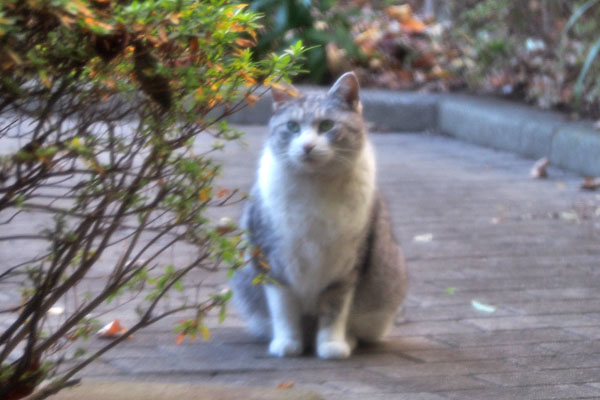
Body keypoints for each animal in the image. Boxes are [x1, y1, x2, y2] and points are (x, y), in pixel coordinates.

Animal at [231, 72, 408, 360]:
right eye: (292, 127)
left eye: (326, 125)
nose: (307, 146)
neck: (315, 186)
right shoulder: (272, 261)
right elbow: (283, 309)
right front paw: (287, 343)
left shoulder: (345, 268)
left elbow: (334, 312)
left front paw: (332, 345)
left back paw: (346, 340)